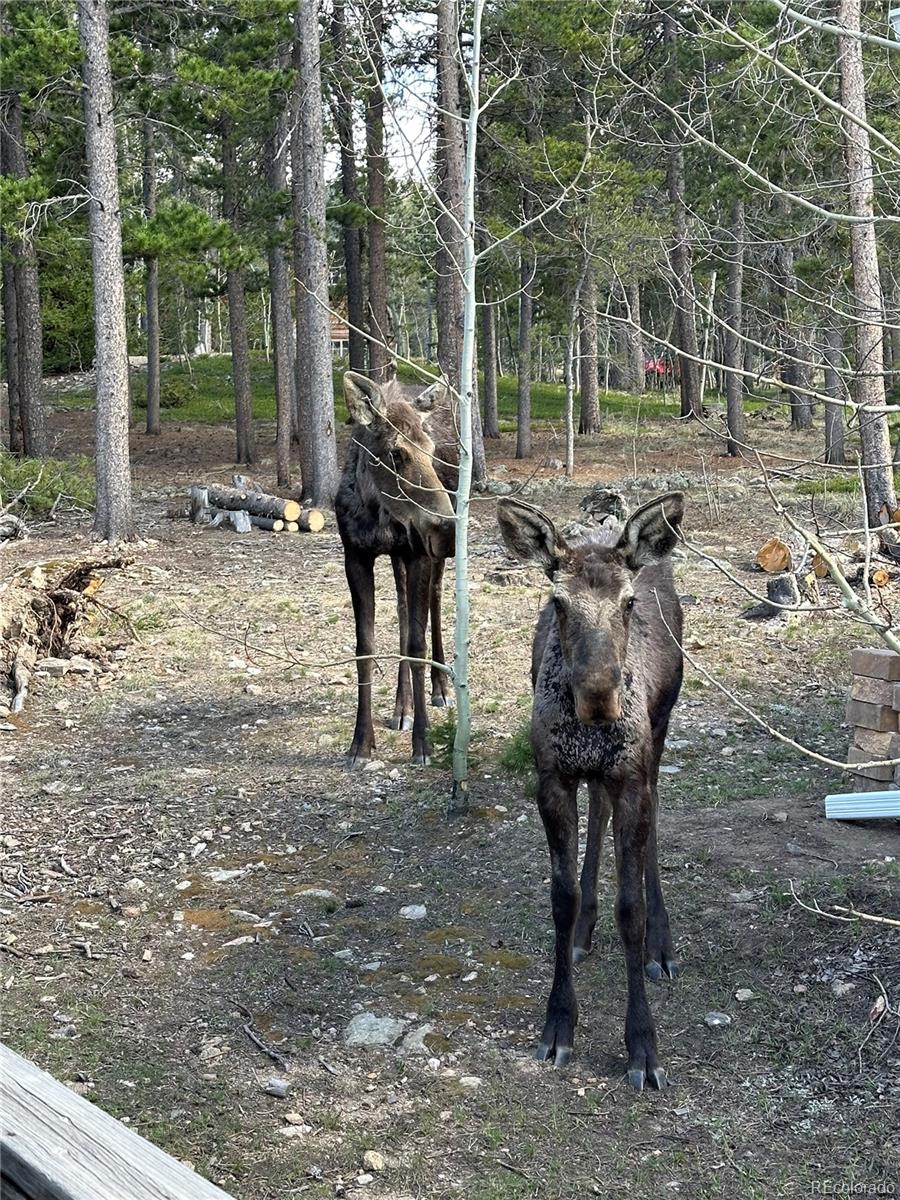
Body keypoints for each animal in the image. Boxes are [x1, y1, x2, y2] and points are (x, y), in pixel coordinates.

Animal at [336, 374, 458, 763]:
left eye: (431, 450)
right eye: (395, 452)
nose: (447, 526)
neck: (380, 514)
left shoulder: (420, 553)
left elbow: (418, 646)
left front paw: (423, 742)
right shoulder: (355, 555)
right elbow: (365, 646)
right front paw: (360, 742)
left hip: (429, 557)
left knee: (434, 600)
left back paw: (440, 688)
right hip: (397, 557)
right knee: (404, 611)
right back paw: (401, 707)